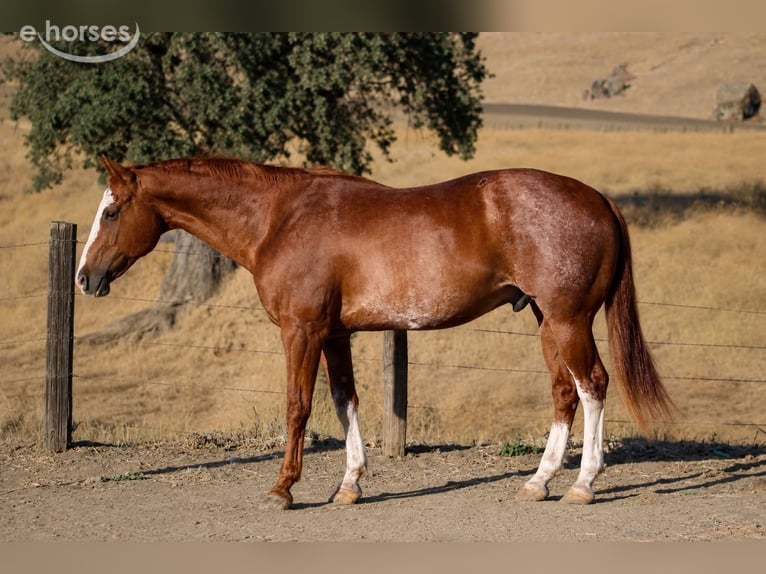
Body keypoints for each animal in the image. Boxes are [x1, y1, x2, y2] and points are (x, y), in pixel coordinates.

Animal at [76, 156, 673, 509]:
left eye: (112, 211)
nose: (85, 278)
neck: (279, 219)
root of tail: (597, 198)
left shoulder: (301, 331)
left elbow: (297, 406)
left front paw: (283, 487)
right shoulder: (335, 335)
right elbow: (346, 402)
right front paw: (350, 484)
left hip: (569, 320)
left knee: (593, 385)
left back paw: (582, 484)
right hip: (547, 321)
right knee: (563, 393)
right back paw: (538, 481)